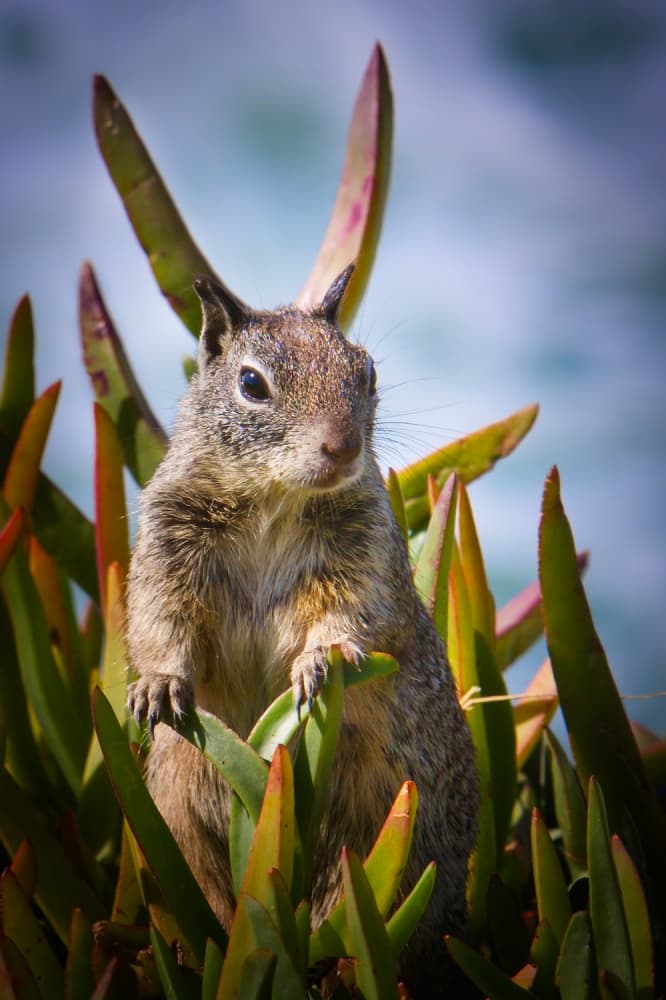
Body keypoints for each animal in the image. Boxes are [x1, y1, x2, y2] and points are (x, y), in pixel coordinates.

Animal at [126, 264, 479, 995]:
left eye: (366, 370)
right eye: (252, 384)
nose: (343, 447)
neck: (272, 499)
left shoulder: (364, 557)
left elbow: (356, 615)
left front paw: (325, 659)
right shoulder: (167, 545)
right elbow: (158, 618)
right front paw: (159, 684)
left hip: (392, 847)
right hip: (178, 818)